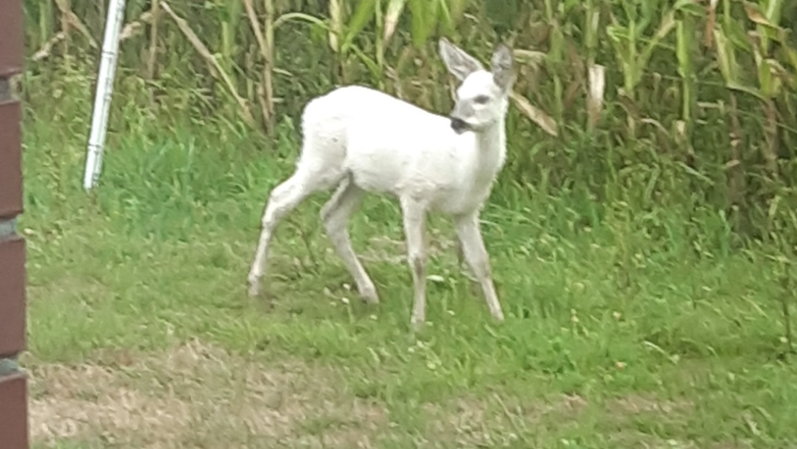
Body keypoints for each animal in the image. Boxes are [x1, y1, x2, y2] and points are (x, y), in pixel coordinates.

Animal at [246, 38, 512, 328]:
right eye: (458, 94)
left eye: (482, 98)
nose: (457, 121)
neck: (464, 166)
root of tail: (312, 106)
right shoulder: (413, 192)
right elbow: (418, 260)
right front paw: (417, 321)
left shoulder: (467, 209)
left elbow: (481, 260)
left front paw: (498, 317)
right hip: (321, 160)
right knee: (279, 198)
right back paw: (255, 284)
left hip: (356, 179)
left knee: (331, 216)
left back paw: (369, 292)